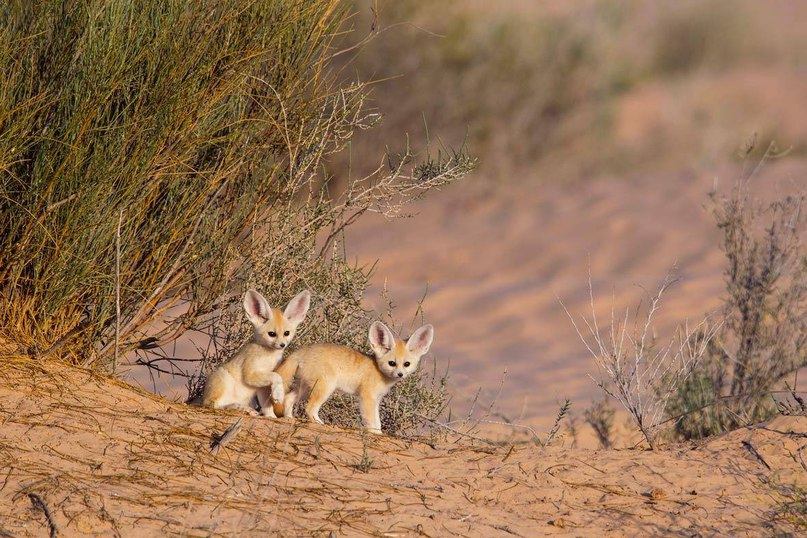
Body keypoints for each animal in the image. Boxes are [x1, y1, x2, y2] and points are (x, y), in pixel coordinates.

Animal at [274, 320, 432, 434]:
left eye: (406, 364)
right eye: (392, 363)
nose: (400, 374)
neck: (378, 370)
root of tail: (300, 352)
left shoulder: (376, 400)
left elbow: (378, 422)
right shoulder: (367, 398)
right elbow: (372, 422)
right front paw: (376, 434)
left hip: (305, 388)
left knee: (288, 398)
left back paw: (289, 418)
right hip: (324, 389)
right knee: (309, 408)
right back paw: (320, 424)